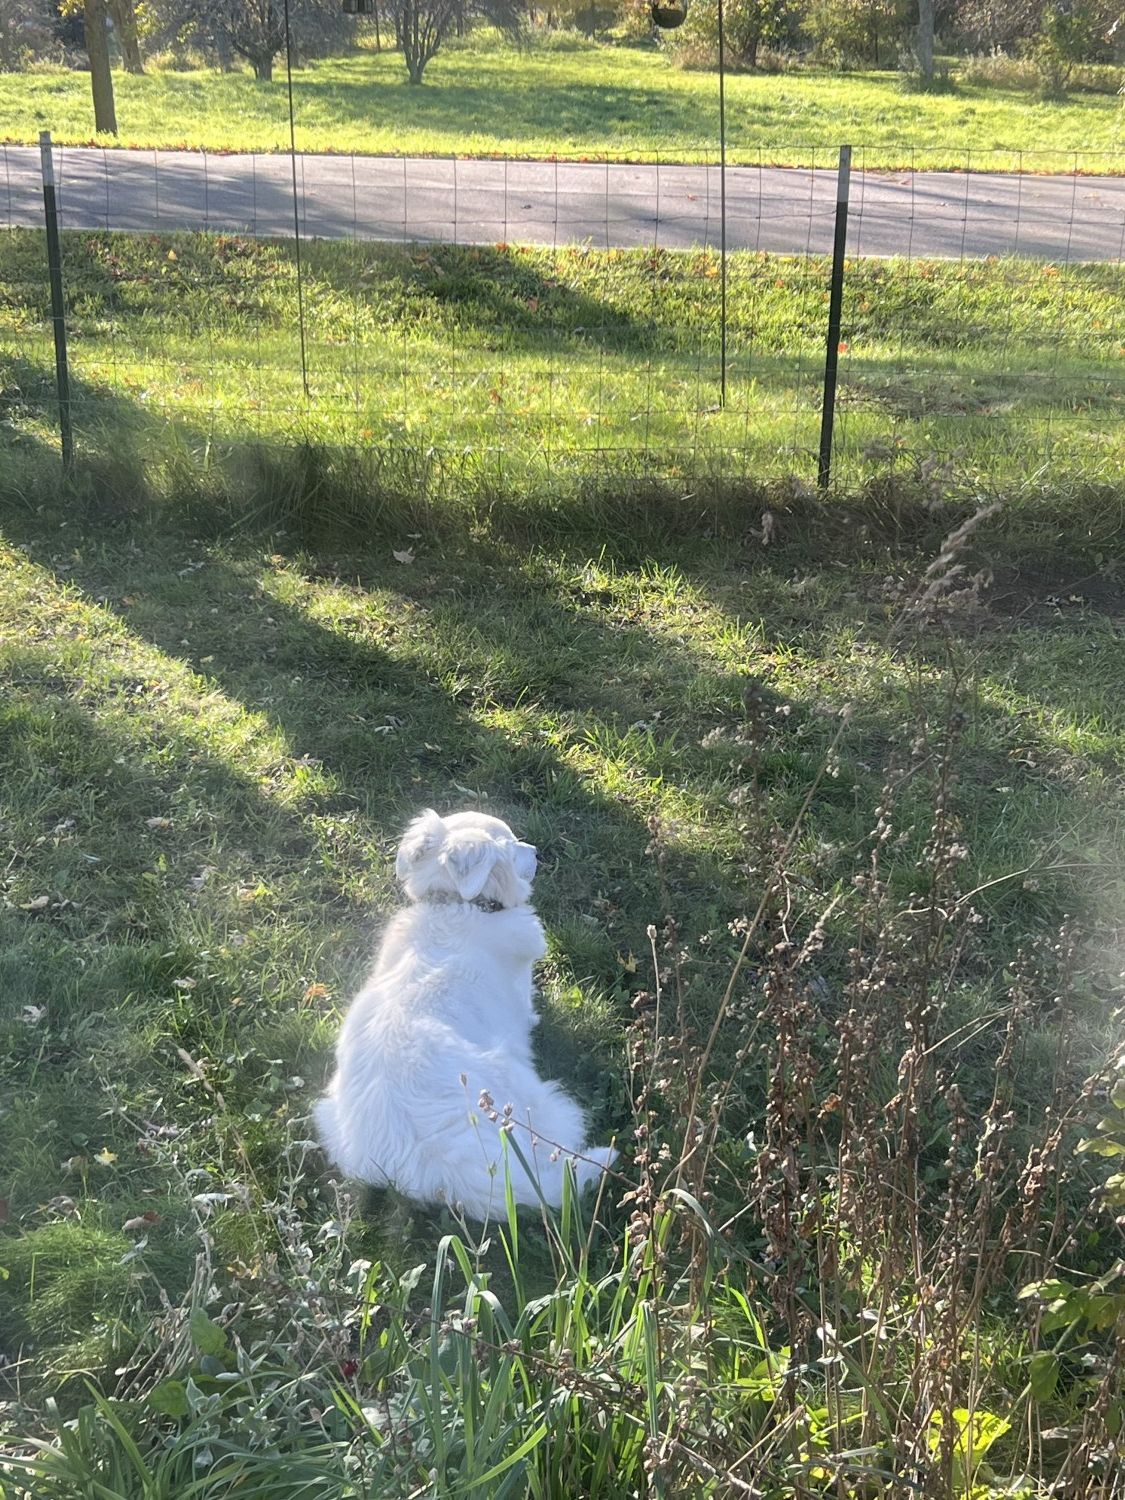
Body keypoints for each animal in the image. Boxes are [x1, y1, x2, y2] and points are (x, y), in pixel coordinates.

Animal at [315, 810, 618, 1218]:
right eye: (510, 843)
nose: (537, 852)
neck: (458, 904)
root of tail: (444, 1170)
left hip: (327, 1116)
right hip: (532, 1096)